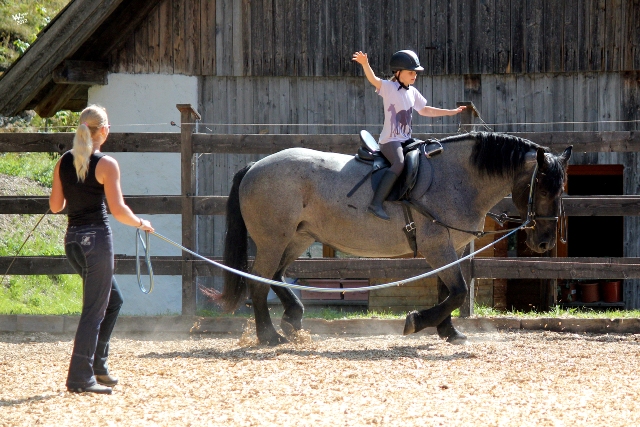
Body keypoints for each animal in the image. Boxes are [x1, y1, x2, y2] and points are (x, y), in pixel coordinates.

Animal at [219, 132, 568, 346]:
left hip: (297, 238)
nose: (545, 242)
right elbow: (457, 291)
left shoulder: (448, 248)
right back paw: (269, 335)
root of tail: (256, 166)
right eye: (543, 188)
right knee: (259, 282)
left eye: (560, 189)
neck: (455, 178)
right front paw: (417, 321)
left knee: (276, 276)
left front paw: (449, 331)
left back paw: (293, 317)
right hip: (273, 240)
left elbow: (449, 291)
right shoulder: (437, 246)